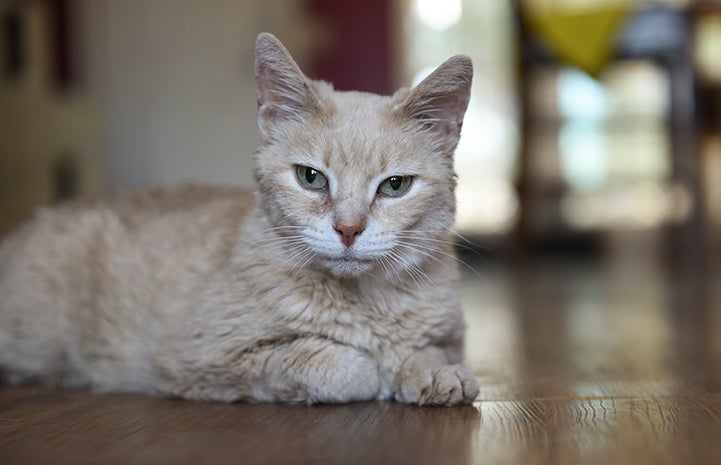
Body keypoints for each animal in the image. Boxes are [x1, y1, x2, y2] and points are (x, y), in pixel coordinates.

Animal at [0, 32, 478, 404]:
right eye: (311, 178)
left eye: (395, 186)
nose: (348, 229)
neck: (366, 303)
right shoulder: (205, 359)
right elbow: (330, 363)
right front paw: (374, 371)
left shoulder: (448, 337)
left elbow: (431, 351)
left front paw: (433, 374)